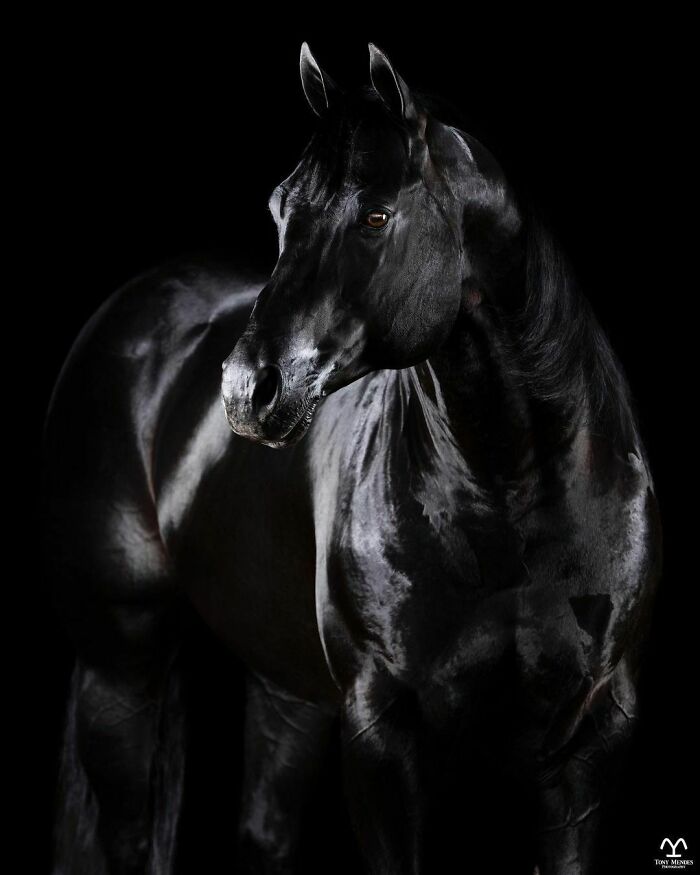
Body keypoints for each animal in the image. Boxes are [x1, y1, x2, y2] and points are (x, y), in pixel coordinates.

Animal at [42, 42, 662, 875]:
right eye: (281, 210)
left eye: (375, 216)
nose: (246, 390)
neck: (516, 493)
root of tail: (129, 311)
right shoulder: (381, 733)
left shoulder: (591, 739)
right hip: (121, 664)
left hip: (285, 689)